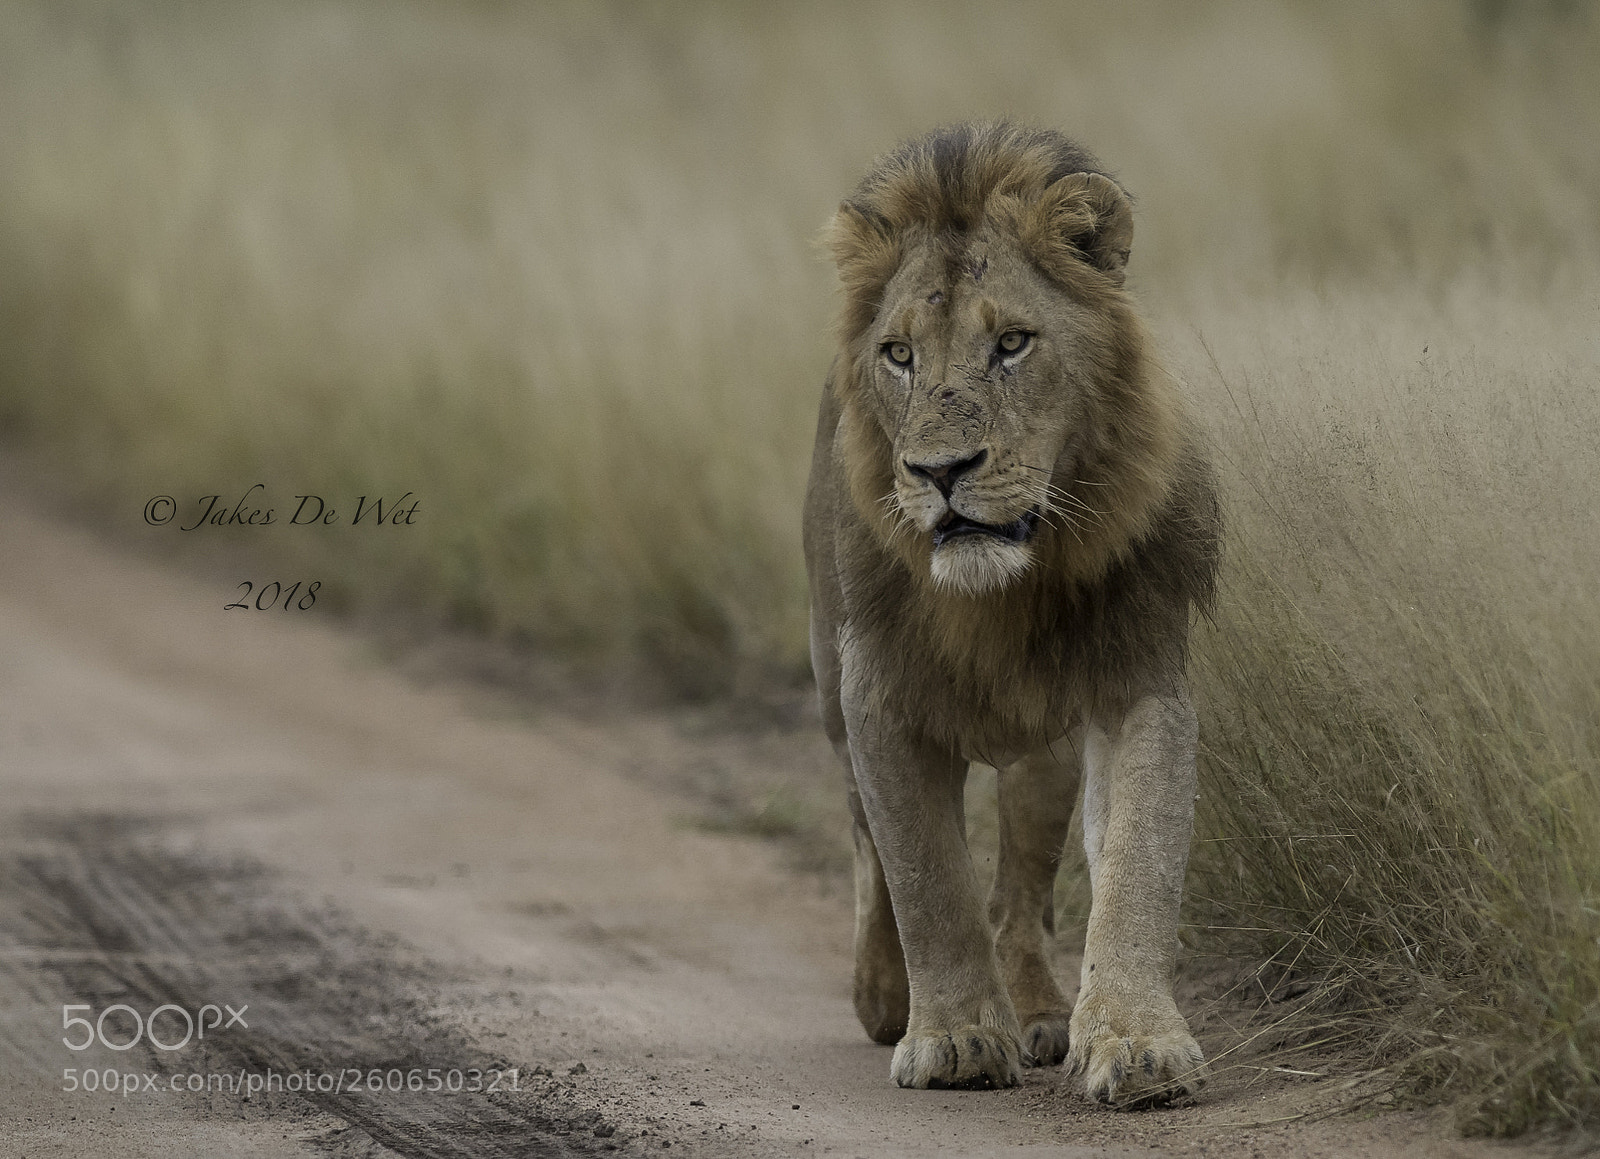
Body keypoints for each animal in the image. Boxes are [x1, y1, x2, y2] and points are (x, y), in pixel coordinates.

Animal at [803, 122, 1219, 1105]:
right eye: (900, 355)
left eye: (1015, 343)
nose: (941, 471)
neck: (1002, 590)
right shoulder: (876, 697)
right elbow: (925, 878)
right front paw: (952, 1036)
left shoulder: (1138, 681)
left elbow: (1138, 864)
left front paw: (1137, 1043)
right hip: (831, 697)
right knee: (867, 843)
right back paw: (885, 996)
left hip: (1045, 755)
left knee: (1019, 898)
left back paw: (1036, 1013)